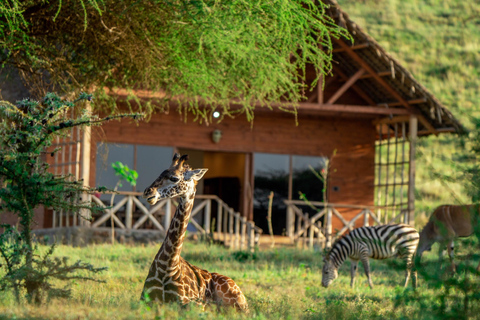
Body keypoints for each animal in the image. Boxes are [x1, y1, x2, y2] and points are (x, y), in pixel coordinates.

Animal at [141, 153, 249, 312]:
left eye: (174, 178)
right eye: (161, 173)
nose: (148, 192)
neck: (167, 266)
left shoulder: (194, 302)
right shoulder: (144, 299)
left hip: (239, 304)